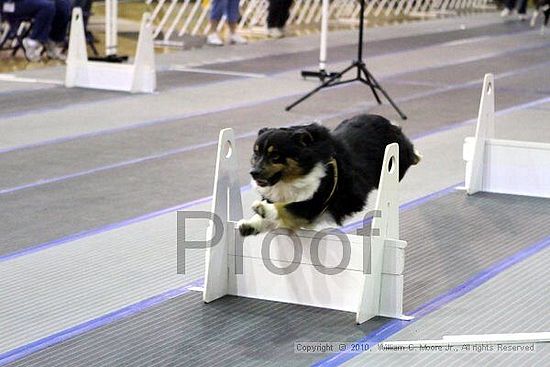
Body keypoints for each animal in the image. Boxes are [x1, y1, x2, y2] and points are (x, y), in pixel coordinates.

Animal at [238, 113, 422, 237]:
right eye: (256, 153)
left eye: (275, 156)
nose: (253, 173)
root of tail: (390, 123)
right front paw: (249, 224)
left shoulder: (315, 203)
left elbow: (289, 207)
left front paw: (263, 209)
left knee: (412, 154)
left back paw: (417, 155)